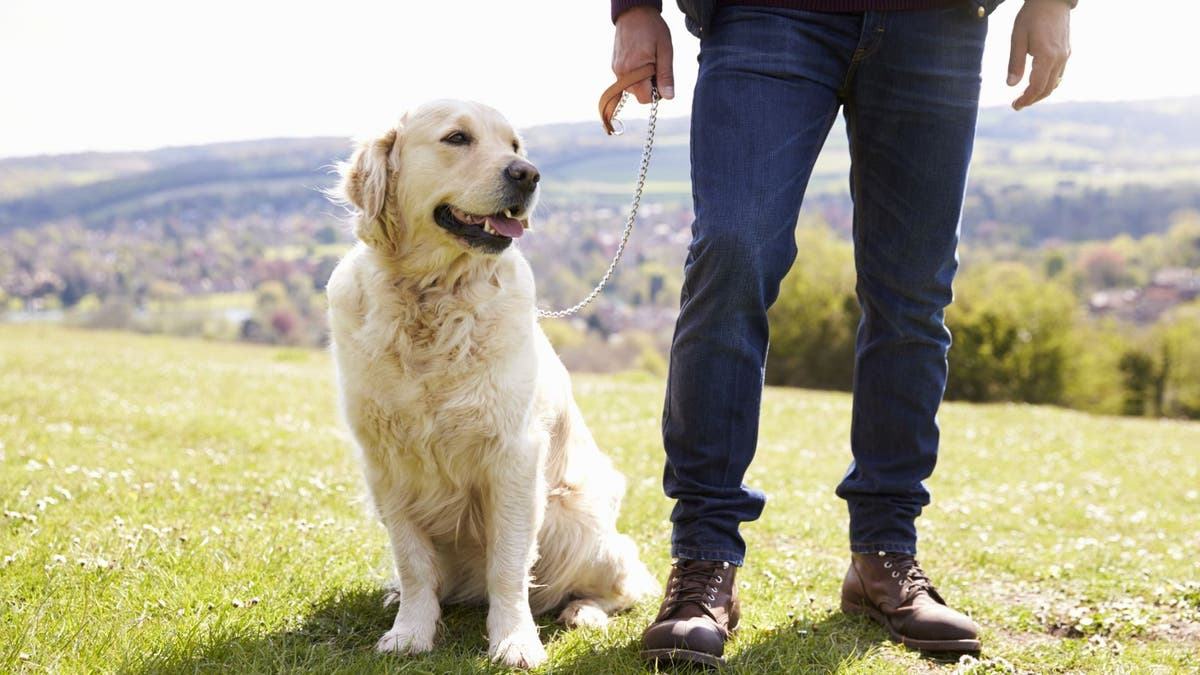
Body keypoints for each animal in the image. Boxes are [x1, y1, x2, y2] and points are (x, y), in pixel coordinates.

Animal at [326, 100, 657, 667]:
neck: (432, 299)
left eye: (515, 145)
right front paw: (410, 632)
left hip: (580, 524)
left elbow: (508, 564)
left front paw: (514, 641)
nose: (528, 174)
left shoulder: (513, 457)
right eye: (457, 138)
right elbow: (413, 563)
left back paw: (583, 611)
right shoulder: (386, 463)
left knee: (623, 586)